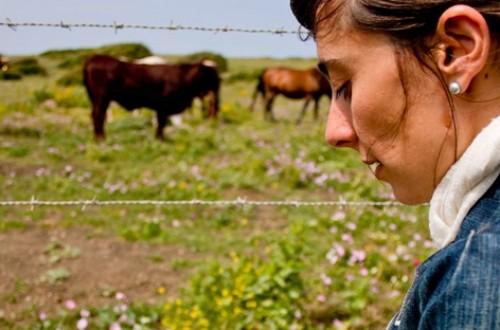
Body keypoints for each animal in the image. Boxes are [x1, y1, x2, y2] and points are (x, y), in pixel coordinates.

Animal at [83, 53, 220, 141]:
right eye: (211, 74)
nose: (218, 82)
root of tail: (94, 58)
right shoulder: (164, 105)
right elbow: (161, 122)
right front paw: (160, 139)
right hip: (101, 98)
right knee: (98, 115)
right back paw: (100, 139)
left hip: (97, 99)